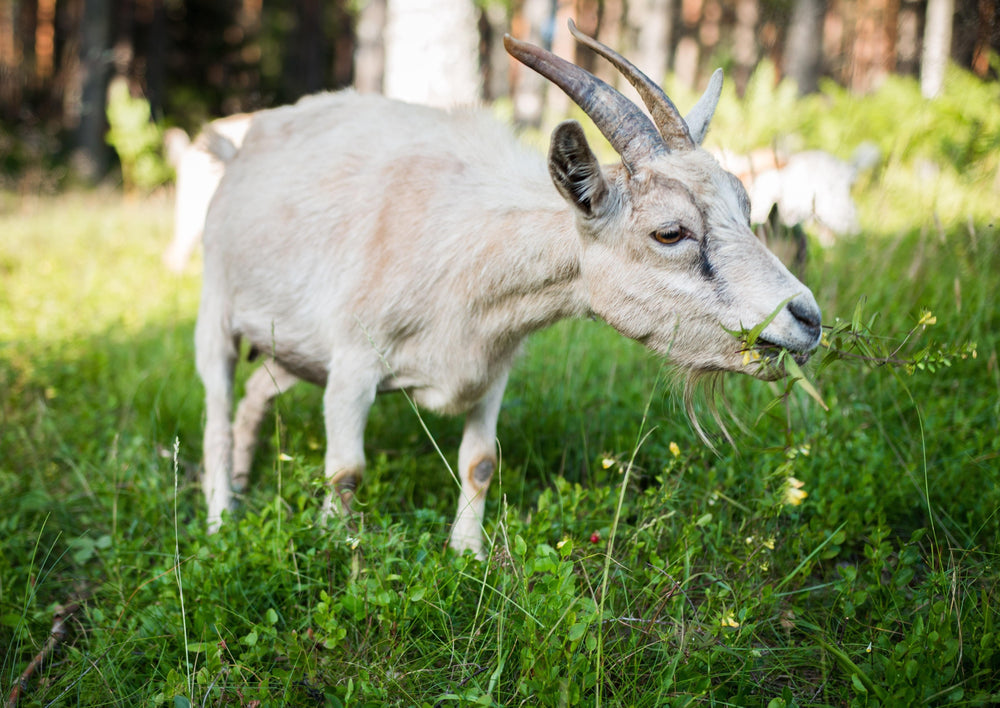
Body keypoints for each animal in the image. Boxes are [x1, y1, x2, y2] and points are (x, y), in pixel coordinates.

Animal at [195, 21, 823, 558]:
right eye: (670, 232)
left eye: (746, 206)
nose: (808, 319)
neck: (467, 248)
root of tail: (241, 149)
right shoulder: (353, 364)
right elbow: (346, 472)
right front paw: (338, 555)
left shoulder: (492, 368)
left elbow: (479, 462)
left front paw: (467, 556)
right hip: (217, 308)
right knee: (217, 412)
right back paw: (222, 519)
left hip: (291, 346)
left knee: (256, 394)